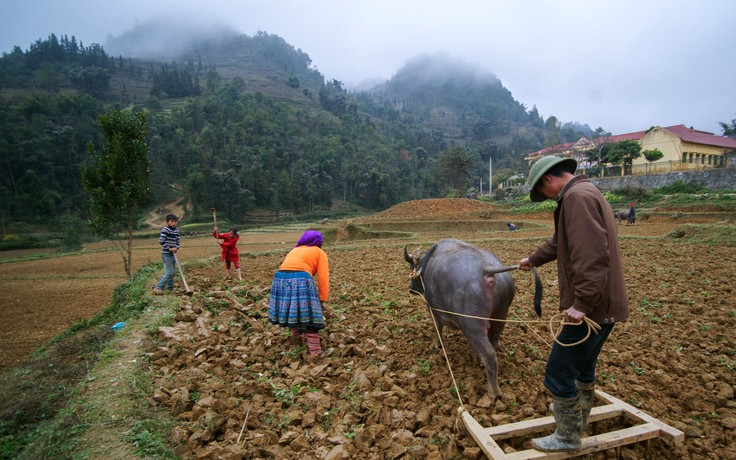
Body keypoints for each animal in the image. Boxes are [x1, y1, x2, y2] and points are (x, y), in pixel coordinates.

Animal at [408, 237, 540, 398]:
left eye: (412, 266)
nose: (411, 289)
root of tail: (486, 269)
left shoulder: (432, 310)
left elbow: (437, 328)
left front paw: (436, 346)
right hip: (501, 315)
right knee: (493, 342)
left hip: (472, 324)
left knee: (489, 354)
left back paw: (493, 393)